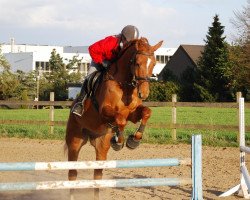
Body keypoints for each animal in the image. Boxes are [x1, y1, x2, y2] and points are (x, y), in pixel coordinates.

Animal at [65, 37, 162, 198]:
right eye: (137, 62)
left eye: (154, 63)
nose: (144, 93)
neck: (125, 85)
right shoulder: (104, 111)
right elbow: (120, 120)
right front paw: (119, 141)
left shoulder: (132, 114)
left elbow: (146, 112)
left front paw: (134, 140)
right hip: (75, 141)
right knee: (72, 173)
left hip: (101, 144)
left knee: (97, 174)